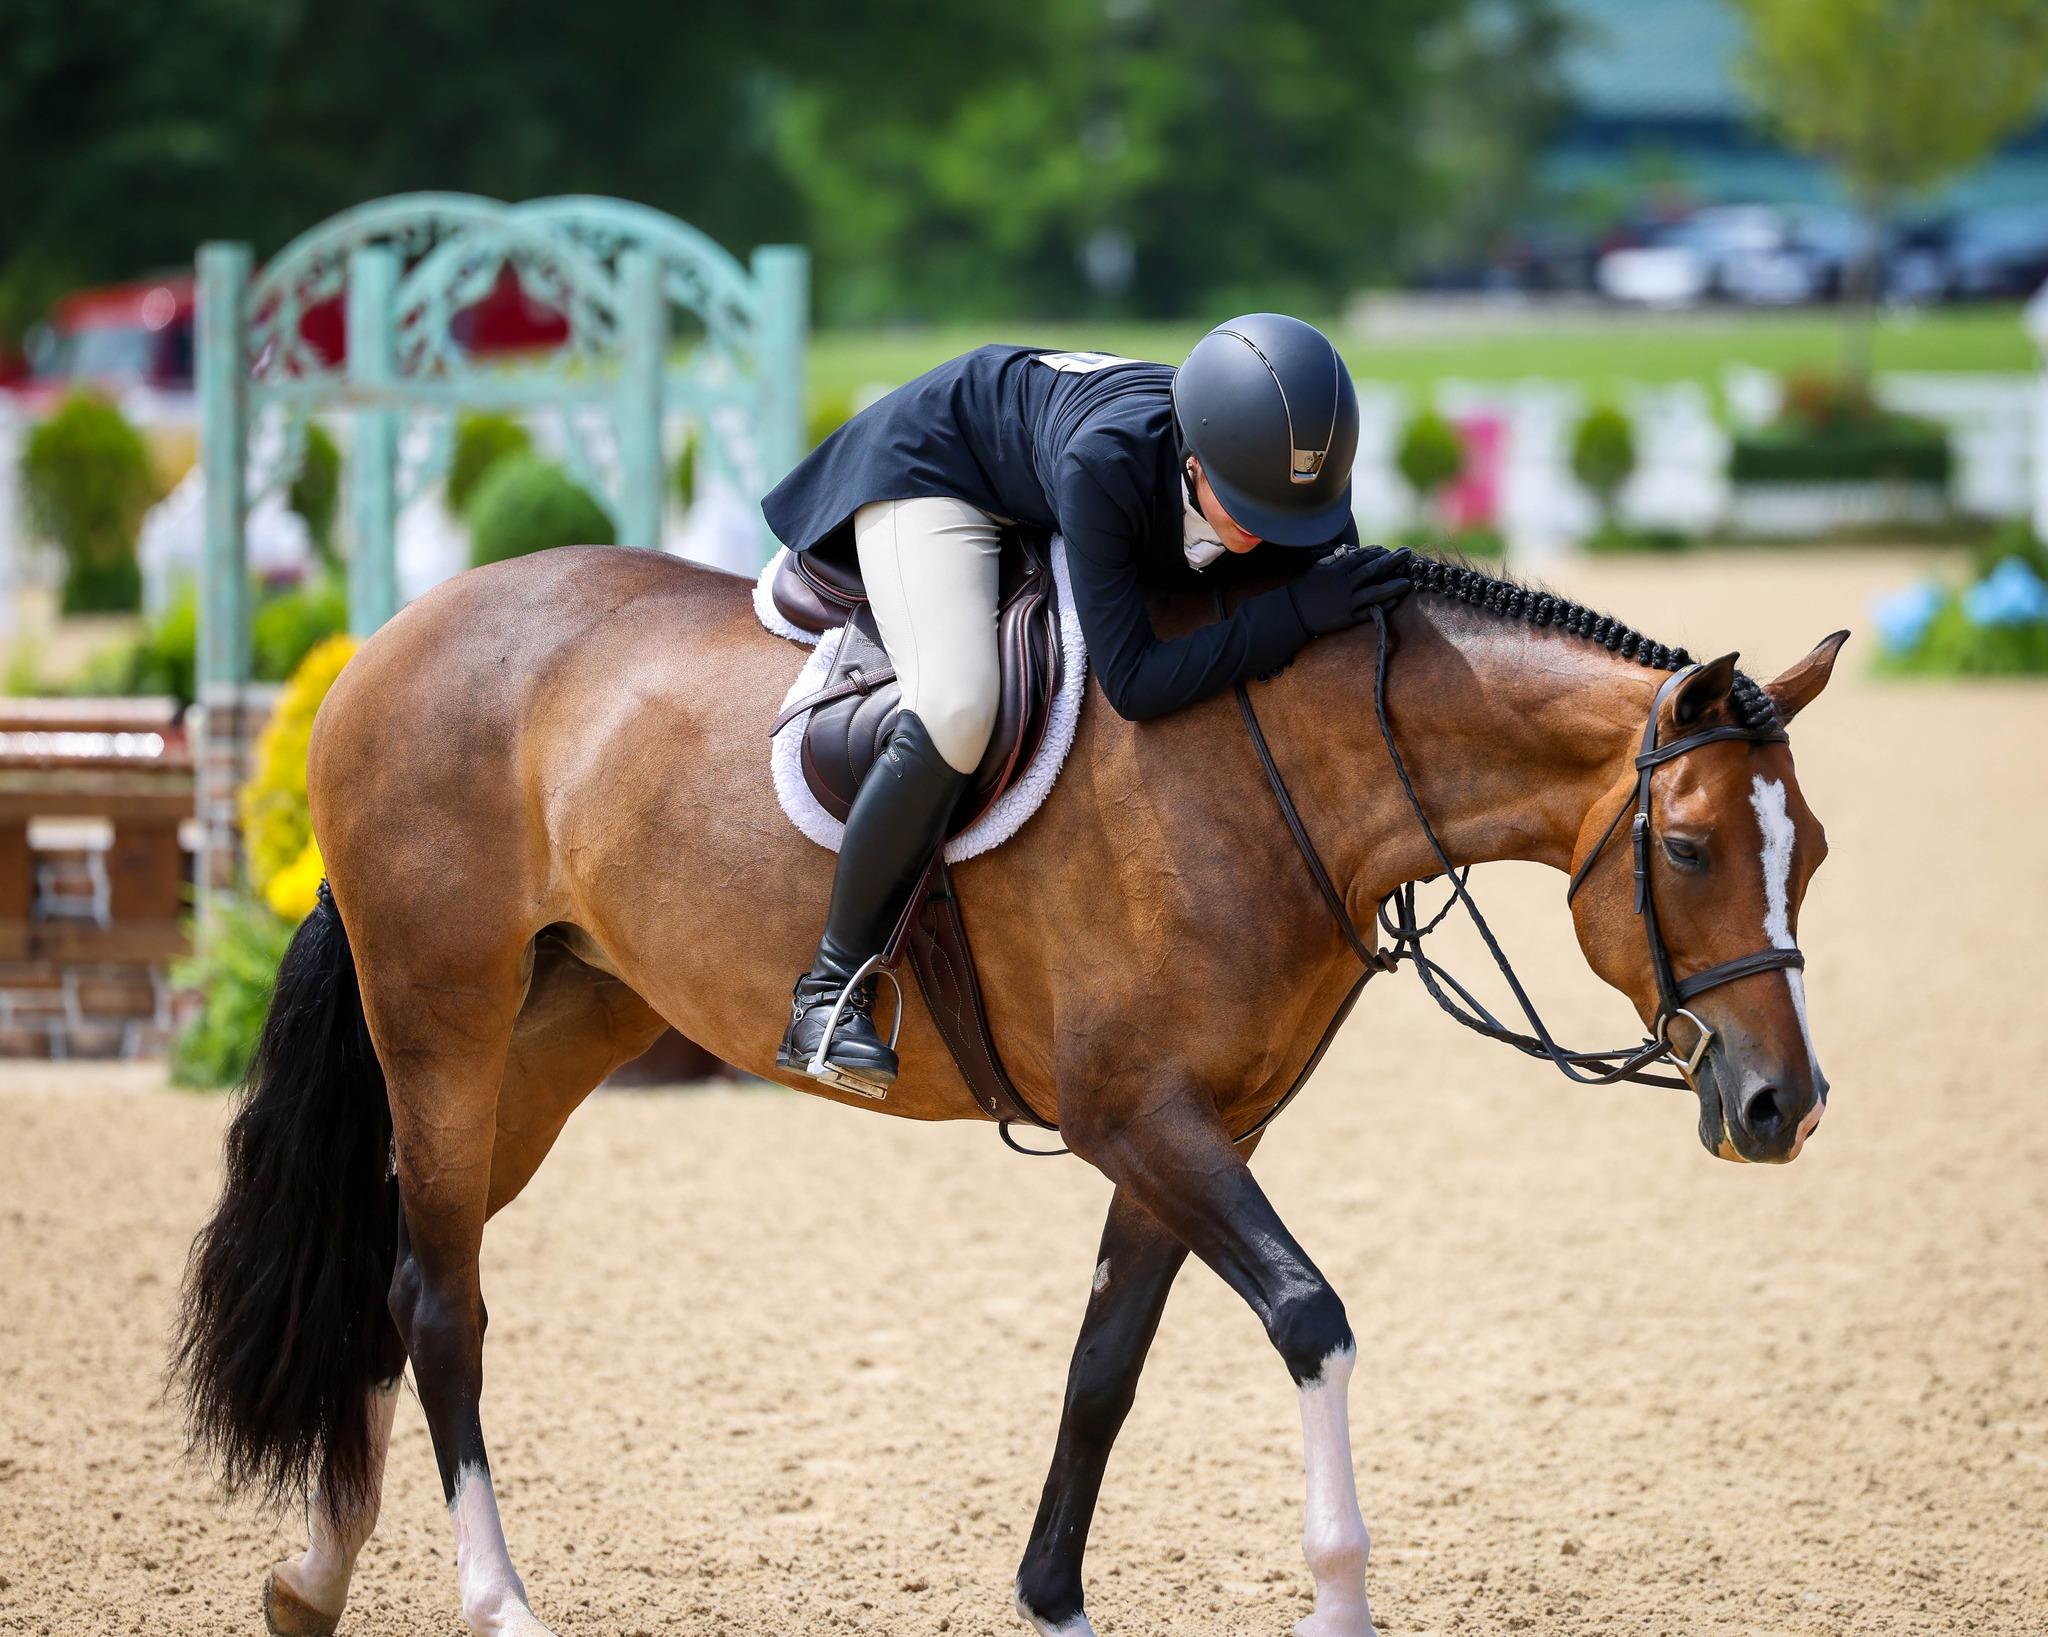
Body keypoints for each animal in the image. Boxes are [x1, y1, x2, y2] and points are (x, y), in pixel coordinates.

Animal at [174, 543, 1844, 1637]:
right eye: (1690, 847)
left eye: (1811, 852)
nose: (1785, 1107)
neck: (1281, 773)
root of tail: (391, 638)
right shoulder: (1140, 1118)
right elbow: (1311, 1320)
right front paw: (1338, 1602)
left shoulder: (1196, 1131)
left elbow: (1103, 1368)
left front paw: (1052, 1602)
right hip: (443, 1021)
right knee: (444, 1303)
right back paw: (497, 1601)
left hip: (557, 1035)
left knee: (402, 1270)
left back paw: (312, 1578)